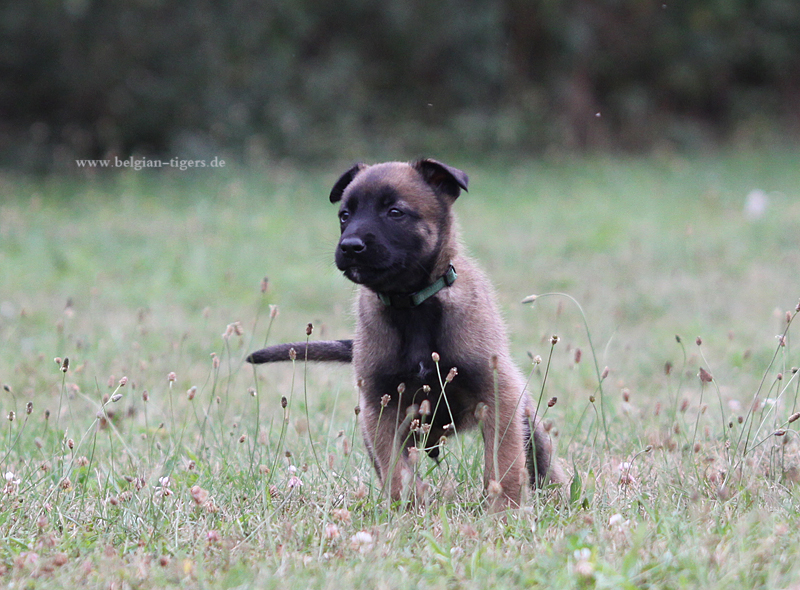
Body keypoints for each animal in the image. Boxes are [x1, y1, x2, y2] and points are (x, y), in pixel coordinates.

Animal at [248, 159, 563, 508]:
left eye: (395, 212)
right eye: (345, 215)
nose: (350, 247)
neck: (411, 304)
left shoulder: (498, 395)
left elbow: (504, 463)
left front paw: (505, 510)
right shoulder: (381, 407)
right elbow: (395, 472)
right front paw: (406, 509)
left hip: (528, 423)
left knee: (542, 462)